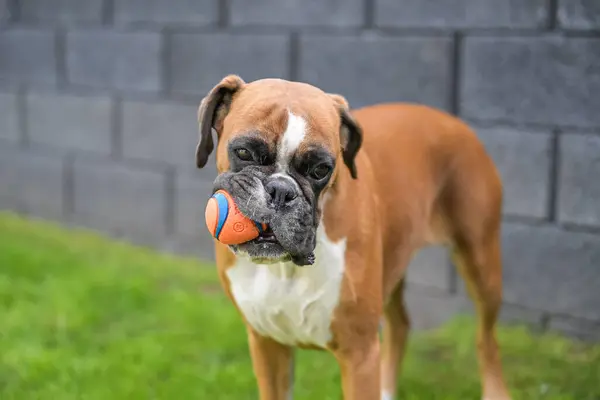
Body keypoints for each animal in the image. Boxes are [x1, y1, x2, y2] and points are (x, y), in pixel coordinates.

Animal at [193, 75, 510, 400]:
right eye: (244, 152)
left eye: (321, 169)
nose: (281, 191)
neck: (286, 268)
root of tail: (453, 121)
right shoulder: (267, 344)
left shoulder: (360, 355)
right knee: (401, 324)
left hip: (481, 264)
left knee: (487, 339)